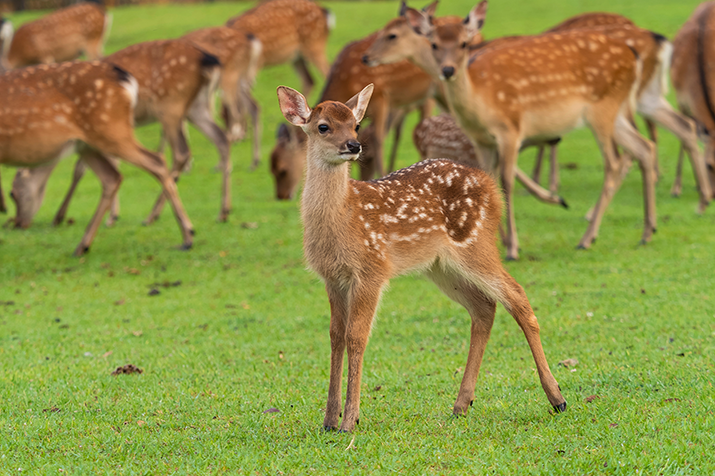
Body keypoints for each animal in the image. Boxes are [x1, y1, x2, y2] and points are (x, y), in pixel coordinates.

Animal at [183, 26, 264, 169]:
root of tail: (251, 41)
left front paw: (187, 165)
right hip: (240, 79)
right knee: (254, 107)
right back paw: (254, 161)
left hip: (229, 75)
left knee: (236, 113)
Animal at [276, 83, 568, 434]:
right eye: (323, 126)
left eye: (356, 124)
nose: (353, 145)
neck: (343, 217)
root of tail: (492, 188)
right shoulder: (333, 277)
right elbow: (335, 336)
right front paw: (329, 420)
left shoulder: (372, 269)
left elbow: (356, 337)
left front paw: (349, 420)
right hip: (441, 267)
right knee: (484, 308)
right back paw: (462, 404)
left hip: (475, 244)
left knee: (517, 296)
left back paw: (557, 398)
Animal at [400, 2, 656, 260]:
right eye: (434, 44)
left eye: (464, 43)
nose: (448, 70)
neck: (479, 102)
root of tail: (632, 54)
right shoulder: (481, 140)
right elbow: (487, 179)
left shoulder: (510, 130)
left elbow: (507, 182)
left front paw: (513, 248)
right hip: (618, 112)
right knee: (644, 147)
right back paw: (646, 233)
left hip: (602, 108)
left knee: (613, 162)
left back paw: (587, 239)